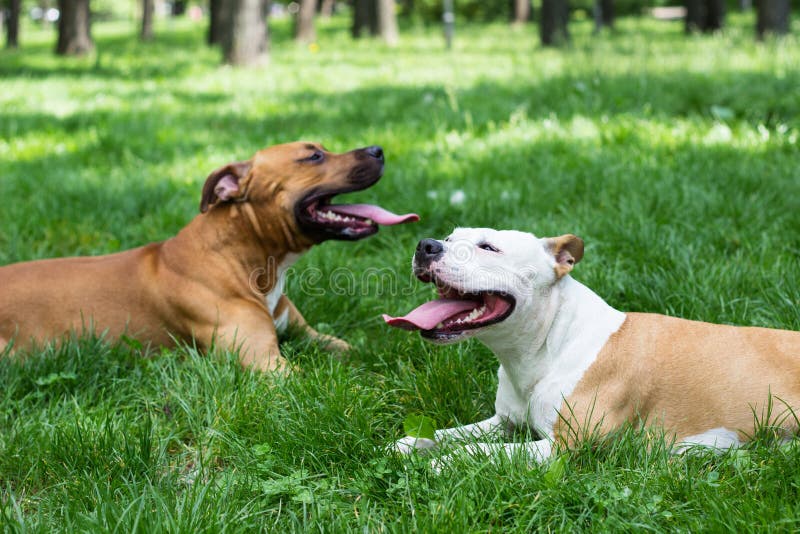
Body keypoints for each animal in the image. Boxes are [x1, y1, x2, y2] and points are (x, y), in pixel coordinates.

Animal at [1, 141, 418, 372]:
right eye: (314, 156)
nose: (379, 150)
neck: (248, 258)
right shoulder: (266, 364)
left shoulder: (309, 335)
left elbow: (354, 350)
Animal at [382, 229, 800, 464]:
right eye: (450, 239)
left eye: (489, 247)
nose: (427, 245)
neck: (545, 348)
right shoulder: (503, 422)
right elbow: (451, 434)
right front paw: (412, 443)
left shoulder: (564, 446)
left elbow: (478, 452)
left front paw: (442, 463)